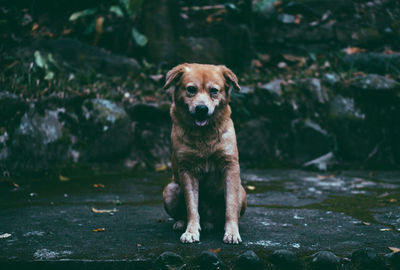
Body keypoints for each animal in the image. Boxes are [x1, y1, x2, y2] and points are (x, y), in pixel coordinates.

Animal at [162, 63, 247, 245]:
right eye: (191, 89)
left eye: (214, 90)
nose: (202, 108)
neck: (204, 136)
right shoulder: (187, 170)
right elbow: (192, 208)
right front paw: (191, 231)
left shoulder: (230, 167)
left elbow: (230, 207)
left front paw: (232, 232)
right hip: (170, 189)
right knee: (183, 213)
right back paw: (181, 223)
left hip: (242, 192)